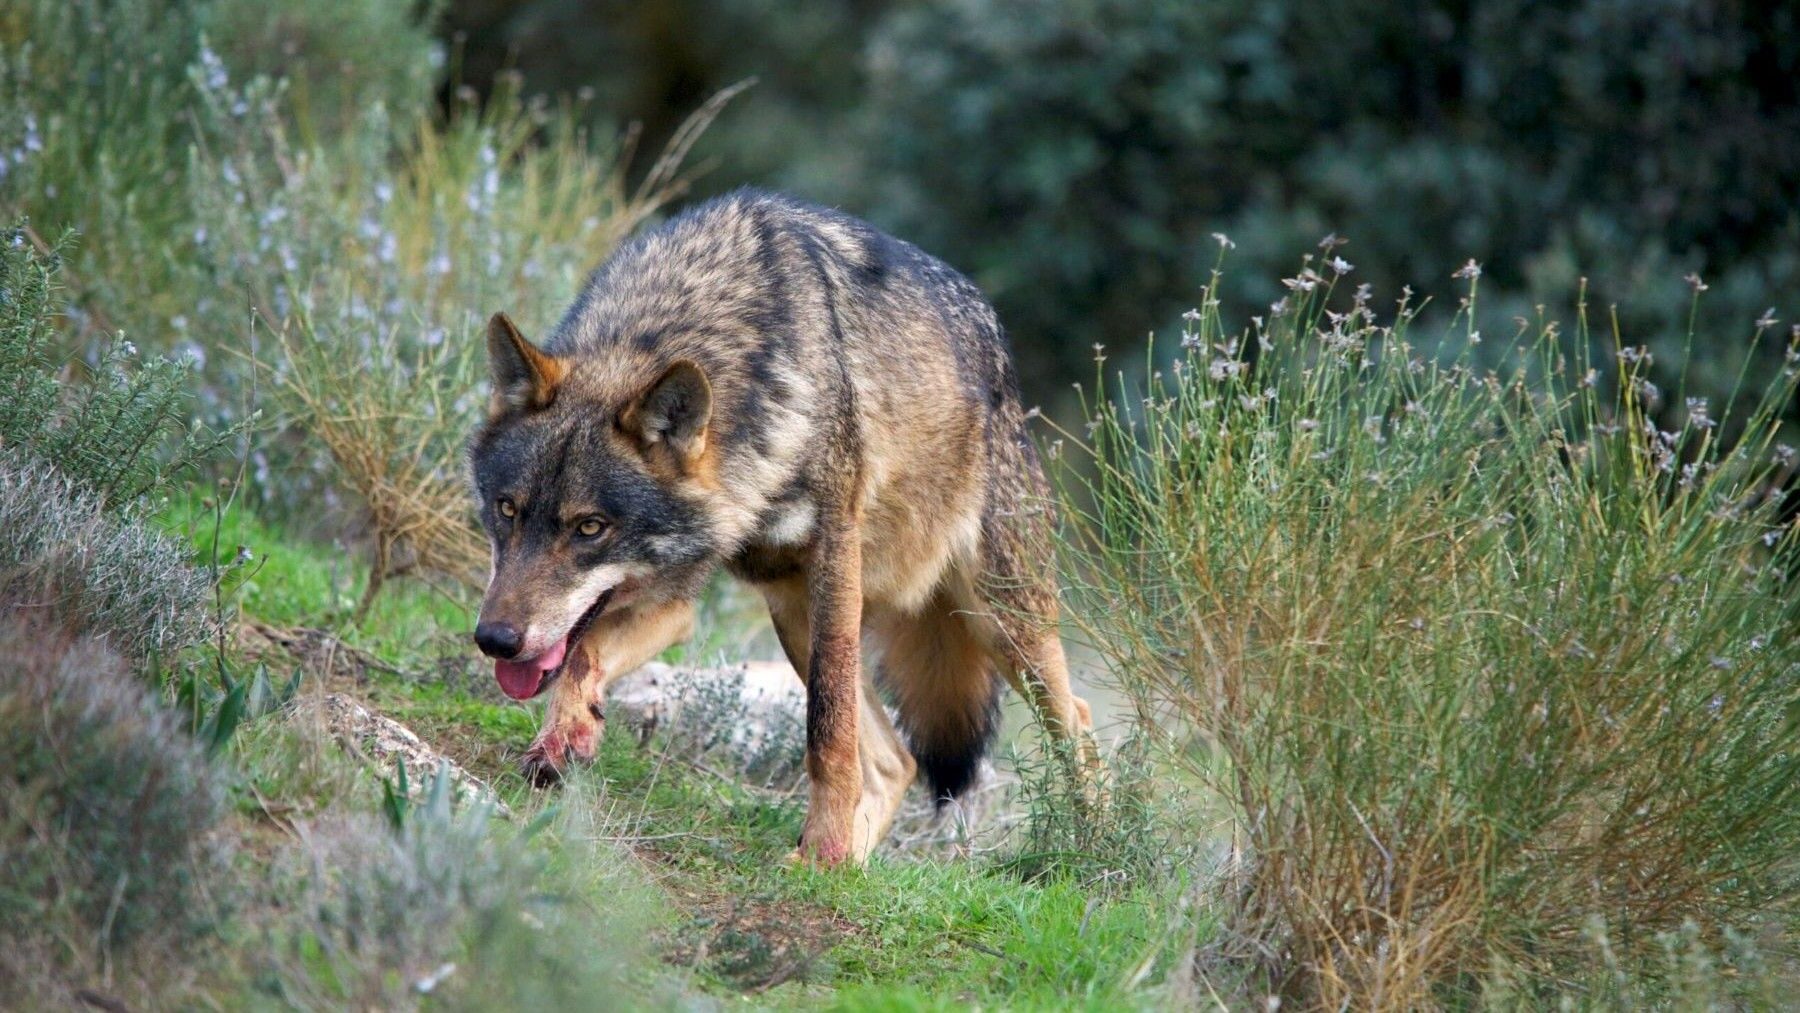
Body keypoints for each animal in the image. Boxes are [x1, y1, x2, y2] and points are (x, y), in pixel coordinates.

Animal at [468, 189, 1095, 864]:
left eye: (589, 528)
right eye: (507, 510)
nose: (495, 640)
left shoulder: (834, 560)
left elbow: (827, 730)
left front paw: (825, 843)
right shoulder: (675, 596)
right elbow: (584, 654)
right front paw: (566, 737)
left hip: (998, 623)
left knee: (1078, 724)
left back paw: (1094, 850)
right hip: (795, 615)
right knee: (897, 762)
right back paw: (843, 868)